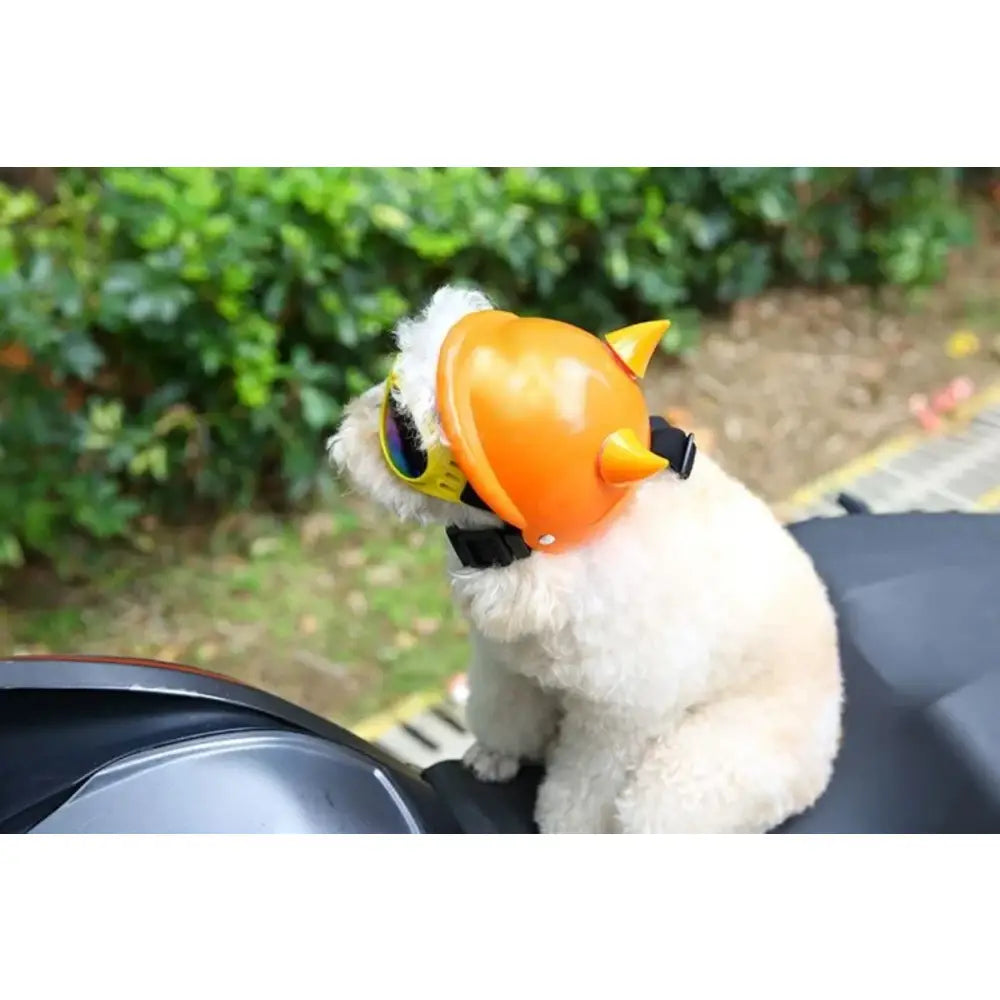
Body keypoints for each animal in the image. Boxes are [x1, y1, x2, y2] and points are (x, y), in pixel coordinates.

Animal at [330, 286, 844, 832]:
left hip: (692, 778)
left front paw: (564, 823)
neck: (551, 554)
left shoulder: (620, 719)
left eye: (405, 432)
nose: (347, 426)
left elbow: (584, 789)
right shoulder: (506, 664)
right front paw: (497, 754)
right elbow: (504, 713)